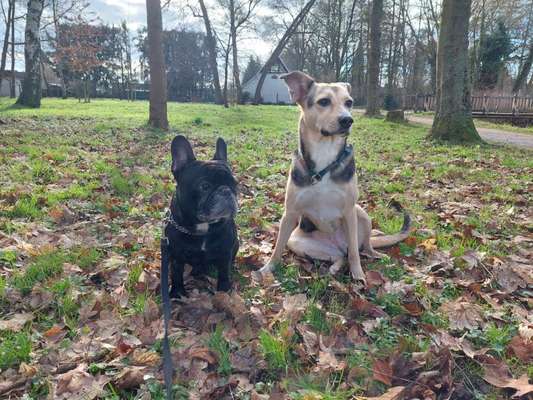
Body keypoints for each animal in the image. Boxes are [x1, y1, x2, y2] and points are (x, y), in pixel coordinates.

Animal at [260, 72, 410, 284]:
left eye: (349, 102)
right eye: (323, 101)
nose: (348, 120)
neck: (325, 155)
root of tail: (338, 245)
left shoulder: (349, 211)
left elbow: (355, 253)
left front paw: (358, 274)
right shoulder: (290, 213)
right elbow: (278, 246)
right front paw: (268, 268)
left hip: (361, 214)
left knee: (361, 248)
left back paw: (374, 254)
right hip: (298, 241)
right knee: (341, 256)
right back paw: (334, 267)